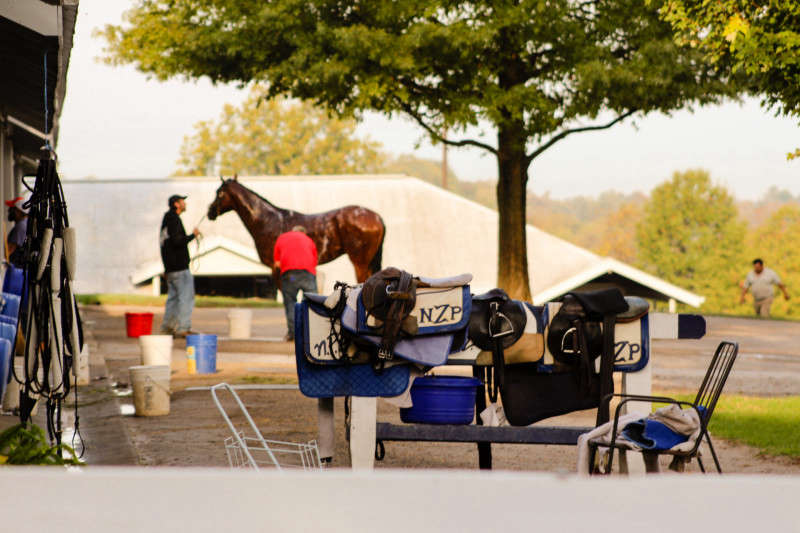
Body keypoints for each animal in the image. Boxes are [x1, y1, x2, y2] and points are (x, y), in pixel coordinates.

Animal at [205, 176, 382, 282]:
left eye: (219, 192)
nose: (210, 212)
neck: (268, 221)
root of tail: (376, 217)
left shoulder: (275, 267)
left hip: (360, 262)